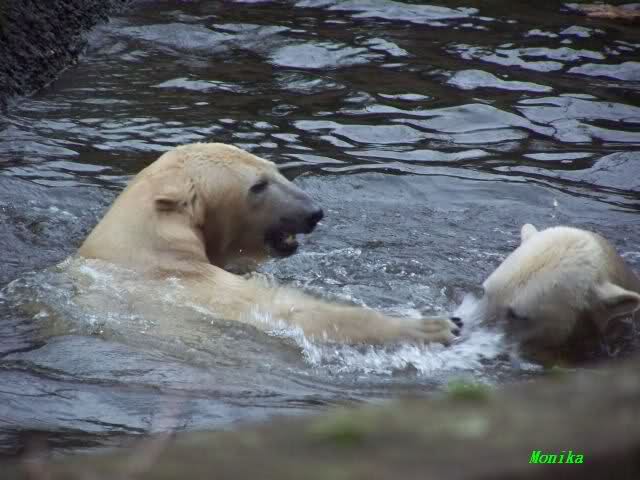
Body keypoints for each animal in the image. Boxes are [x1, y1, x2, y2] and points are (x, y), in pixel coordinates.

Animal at [79, 143, 460, 345]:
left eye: (274, 168)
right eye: (257, 185)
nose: (313, 213)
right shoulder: (186, 287)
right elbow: (282, 311)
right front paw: (430, 326)